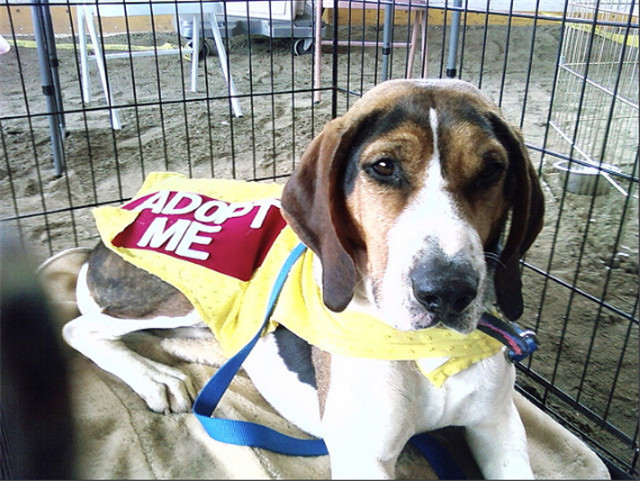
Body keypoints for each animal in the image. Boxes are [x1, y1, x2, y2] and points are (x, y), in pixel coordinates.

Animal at [62, 78, 544, 479]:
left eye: (491, 170)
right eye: (384, 166)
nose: (446, 292)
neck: (431, 350)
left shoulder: (499, 426)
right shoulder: (364, 457)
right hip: (175, 292)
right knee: (80, 328)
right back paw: (154, 377)